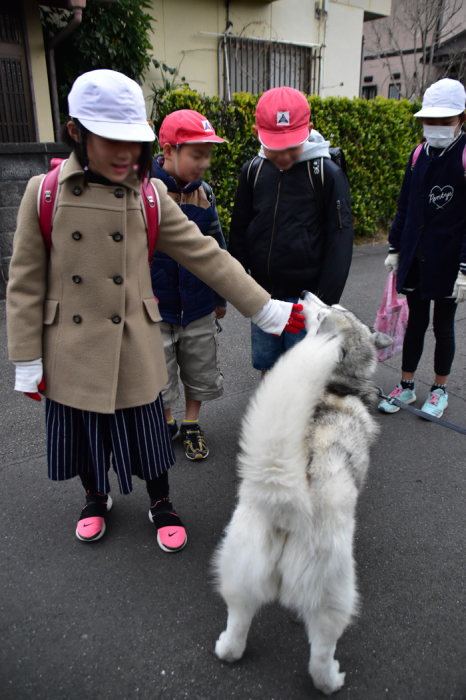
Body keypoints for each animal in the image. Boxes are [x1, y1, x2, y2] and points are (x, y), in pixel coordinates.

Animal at [213, 290, 392, 696]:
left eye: (329, 310)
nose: (306, 294)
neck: (336, 386)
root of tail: (286, 500)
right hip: (333, 595)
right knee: (319, 656)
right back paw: (332, 680)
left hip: (239, 570)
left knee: (237, 626)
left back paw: (227, 647)